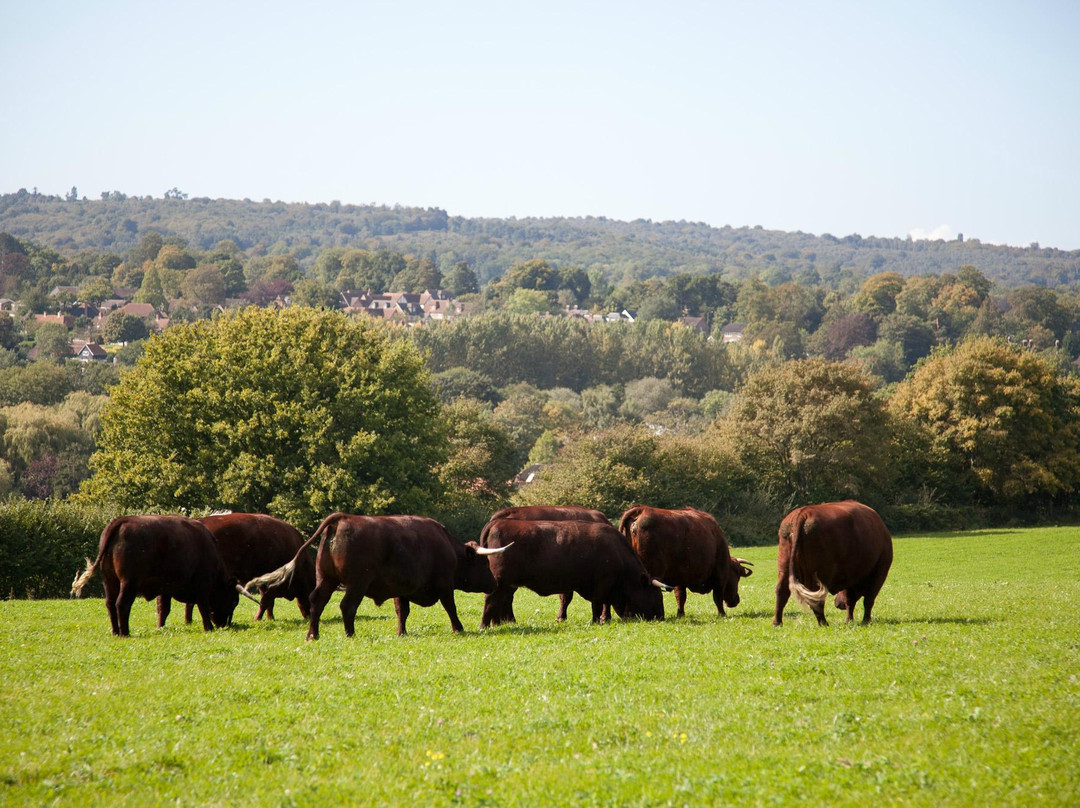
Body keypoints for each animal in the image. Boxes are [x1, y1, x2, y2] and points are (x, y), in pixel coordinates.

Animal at [70, 514, 252, 635]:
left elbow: (163, 609)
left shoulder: (165, 590)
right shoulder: (202, 587)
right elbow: (203, 608)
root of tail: (122, 520)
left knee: (110, 603)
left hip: (110, 581)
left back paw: (116, 631)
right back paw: (125, 633)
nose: (225, 624)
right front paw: (209, 628)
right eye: (233, 600)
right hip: (128, 583)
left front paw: (160, 627)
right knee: (121, 604)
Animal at [248, 514, 509, 639]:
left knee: (316, 602)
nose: (494, 583)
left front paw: (401, 632)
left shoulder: (401, 589)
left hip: (326, 580)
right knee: (347, 606)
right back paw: (350, 633)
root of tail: (343, 518)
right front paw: (458, 628)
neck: (446, 545)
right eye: (483, 563)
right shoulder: (445, 585)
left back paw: (313, 635)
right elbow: (450, 608)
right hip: (357, 584)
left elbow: (402, 612)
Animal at [479, 520, 665, 626]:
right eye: (657, 596)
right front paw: (597, 621)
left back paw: (497, 624)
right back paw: (484, 625)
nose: (661, 617)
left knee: (500, 601)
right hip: (500, 581)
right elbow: (597, 604)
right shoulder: (602, 584)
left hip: (507, 584)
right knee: (491, 600)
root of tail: (497, 524)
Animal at [622, 505, 756, 617]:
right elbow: (717, 597)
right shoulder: (720, 576)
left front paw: (680, 614)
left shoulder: (679, 579)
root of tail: (642, 509)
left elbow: (680, 597)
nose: (736, 600)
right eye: (737, 577)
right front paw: (722, 614)